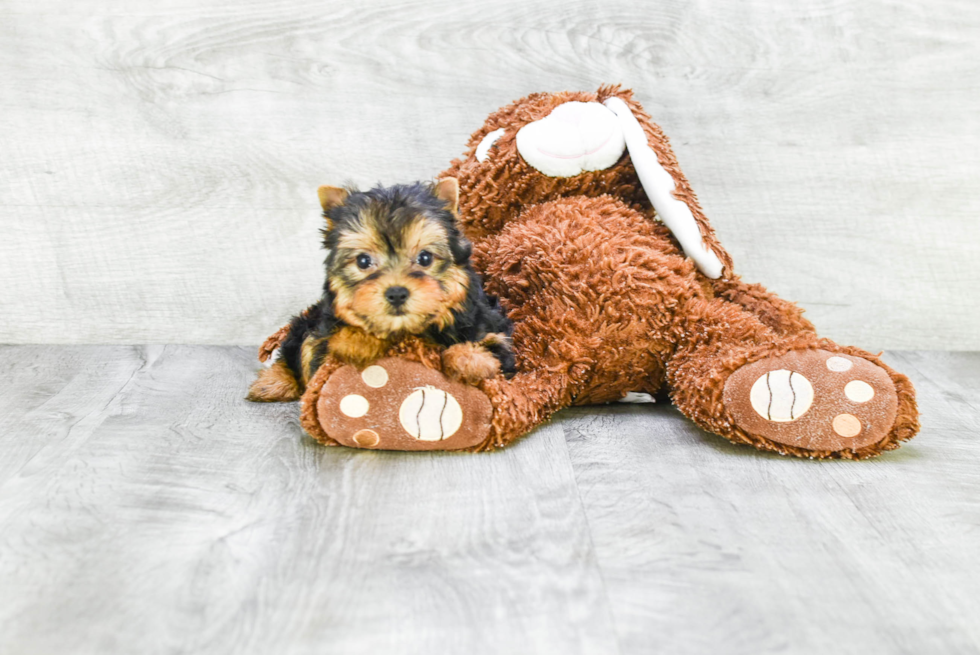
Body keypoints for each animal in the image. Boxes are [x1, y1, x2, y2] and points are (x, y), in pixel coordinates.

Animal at [247, 179, 512, 404]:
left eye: (425, 258)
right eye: (363, 261)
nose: (396, 293)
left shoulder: (493, 328)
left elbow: (492, 345)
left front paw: (470, 360)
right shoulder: (322, 333)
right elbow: (317, 350)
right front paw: (357, 341)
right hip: (306, 320)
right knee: (295, 347)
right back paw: (273, 383)